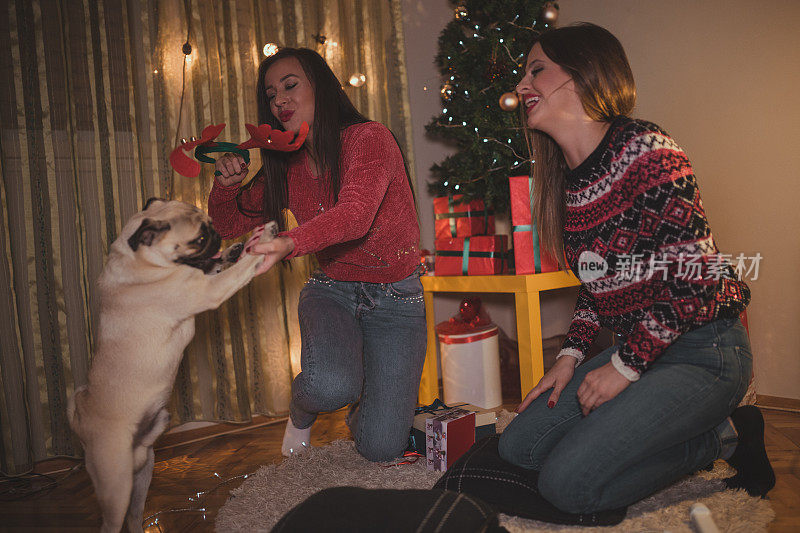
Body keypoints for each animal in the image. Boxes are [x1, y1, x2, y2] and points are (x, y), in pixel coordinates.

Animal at [64, 198, 276, 532]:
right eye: (199, 239)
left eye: (210, 227)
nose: (216, 235)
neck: (143, 263)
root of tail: (80, 420)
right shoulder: (209, 290)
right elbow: (241, 270)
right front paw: (263, 240)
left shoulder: (203, 278)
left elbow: (219, 265)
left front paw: (232, 251)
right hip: (116, 486)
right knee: (111, 522)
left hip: (142, 475)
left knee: (134, 516)